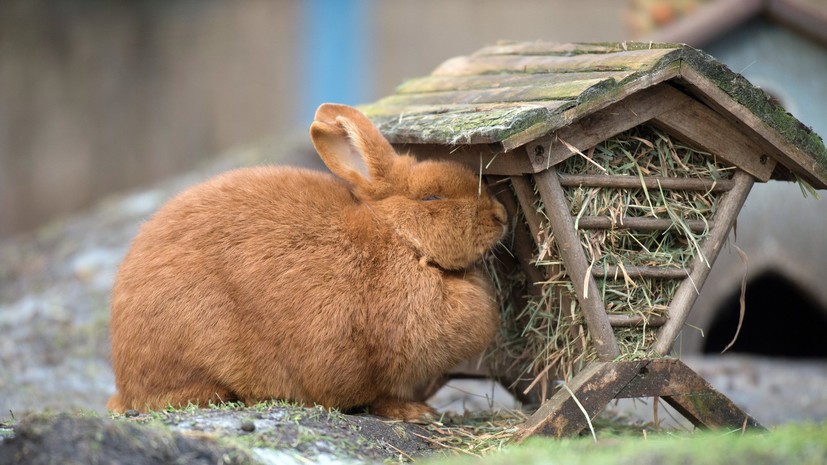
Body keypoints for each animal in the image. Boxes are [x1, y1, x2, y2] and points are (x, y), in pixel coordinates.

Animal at [106, 102, 508, 420]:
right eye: (432, 198)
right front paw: (415, 413)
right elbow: (380, 396)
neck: (400, 238)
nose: (501, 216)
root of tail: (124, 378)